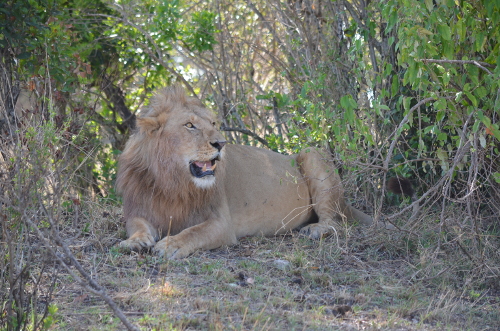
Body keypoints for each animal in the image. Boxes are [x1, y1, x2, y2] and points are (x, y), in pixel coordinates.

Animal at [116, 85, 386, 260]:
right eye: (189, 125)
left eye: (213, 124)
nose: (221, 143)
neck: (172, 181)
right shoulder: (141, 208)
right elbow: (136, 225)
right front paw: (135, 242)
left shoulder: (221, 223)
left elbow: (193, 232)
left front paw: (171, 244)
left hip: (312, 154)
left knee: (334, 221)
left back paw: (315, 229)